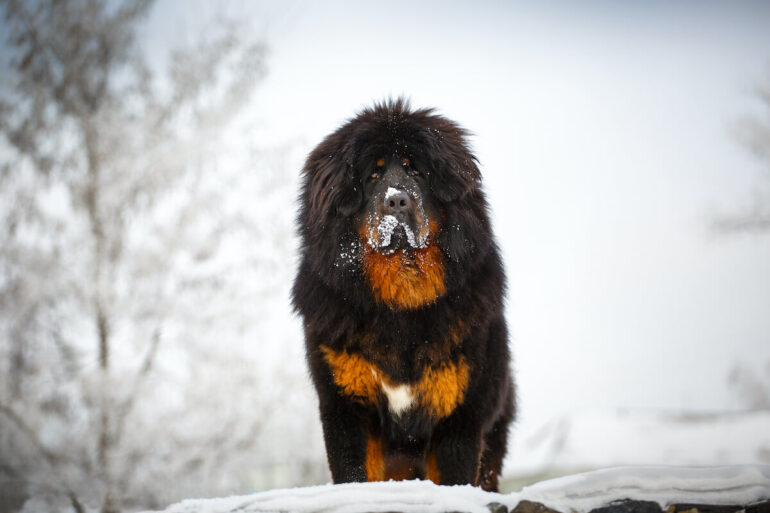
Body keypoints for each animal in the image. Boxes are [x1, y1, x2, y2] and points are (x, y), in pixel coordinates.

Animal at [292, 99, 512, 492]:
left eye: (417, 172)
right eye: (372, 176)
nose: (397, 201)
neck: (401, 305)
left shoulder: (459, 416)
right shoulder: (346, 408)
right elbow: (354, 475)